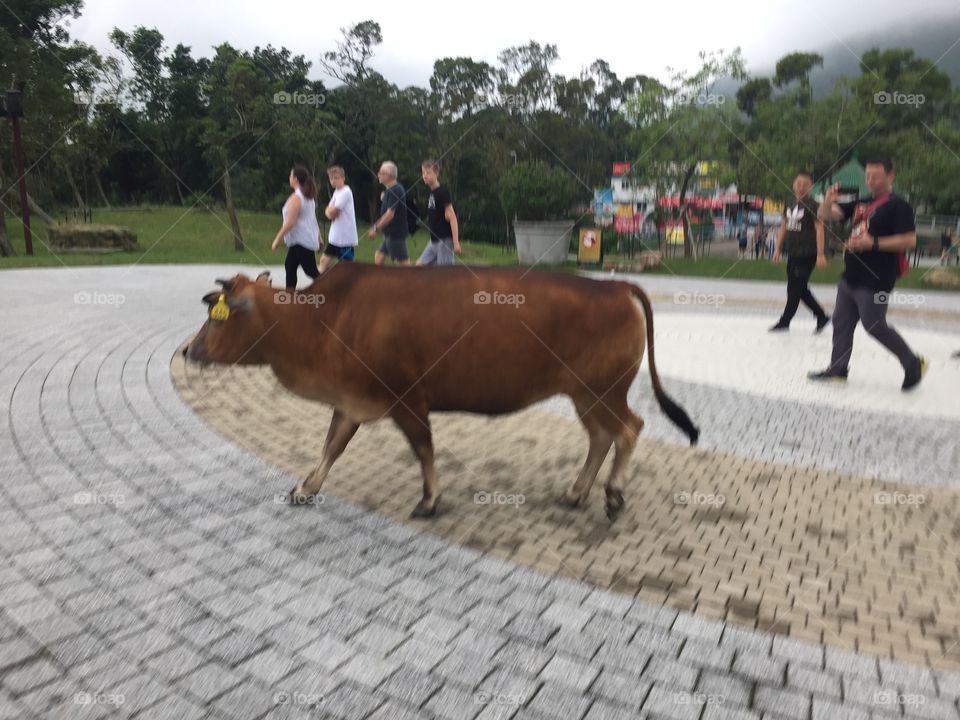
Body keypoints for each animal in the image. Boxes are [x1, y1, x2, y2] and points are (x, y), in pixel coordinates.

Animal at [186, 264, 696, 516]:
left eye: (216, 316)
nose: (188, 349)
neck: (325, 318)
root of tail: (615, 286)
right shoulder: (351, 399)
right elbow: (331, 446)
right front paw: (306, 487)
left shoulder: (407, 397)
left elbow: (423, 448)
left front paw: (430, 500)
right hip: (584, 394)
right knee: (601, 436)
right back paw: (576, 492)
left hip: (604, 390)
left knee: (629, 429)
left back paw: (612, 494)